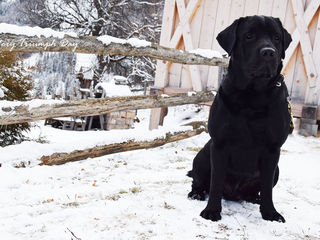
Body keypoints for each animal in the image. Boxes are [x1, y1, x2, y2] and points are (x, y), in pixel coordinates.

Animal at [188, 15, 292, 223]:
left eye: (277, 38)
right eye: (249, 36)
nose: (268, 52)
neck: (252, 96)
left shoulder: (273, 149)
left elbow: (267, 188)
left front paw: (270, 213)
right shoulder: (219, 144)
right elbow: (215, 182)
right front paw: (212, 211)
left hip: (277, 170)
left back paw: (254, 199)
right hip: (202, 156)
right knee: (197, 180)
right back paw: (196, 194)